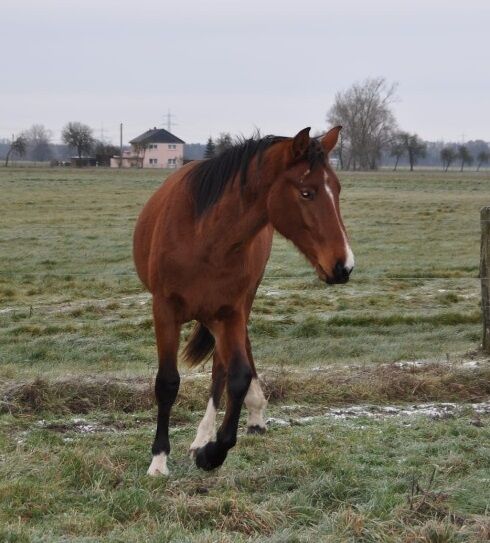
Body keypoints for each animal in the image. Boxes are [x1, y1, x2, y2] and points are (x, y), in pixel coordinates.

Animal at [134, 126, 354, 476]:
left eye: (337, 188)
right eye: (307, 192)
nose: (343, 266)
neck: (206, 238)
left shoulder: (230, 312)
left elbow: (236, 376)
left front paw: (211, 453)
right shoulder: (164, 310)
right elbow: (167, 383)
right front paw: (158, 460)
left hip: (236, 309)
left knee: (222, 368)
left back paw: (219, 429)